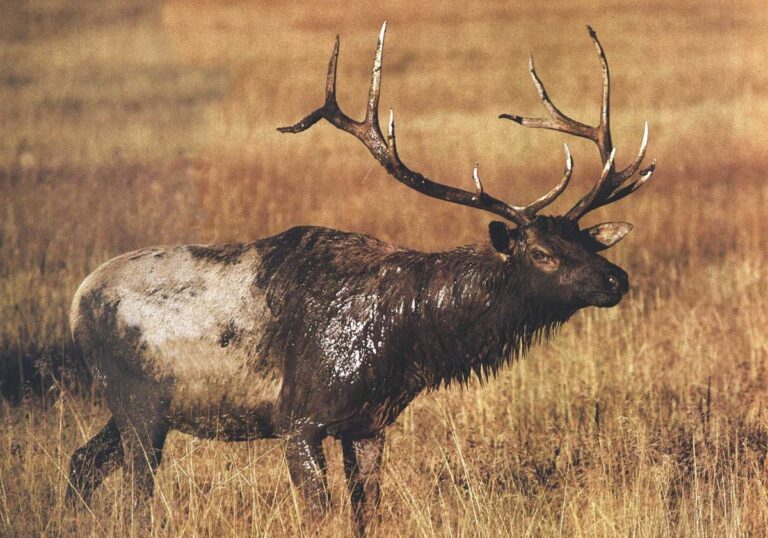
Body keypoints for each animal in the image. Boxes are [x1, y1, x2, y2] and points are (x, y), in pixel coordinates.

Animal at [66, 23, 654, 534]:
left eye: (586, 242)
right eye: (541, 252)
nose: (616, 280)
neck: (407, 343)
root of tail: (76, 302)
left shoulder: (370, 423)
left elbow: (366, 512)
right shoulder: (298, 417)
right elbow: (319, 515)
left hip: (135, 406)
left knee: (82, 462)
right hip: (134, 397)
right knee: (134, 492)